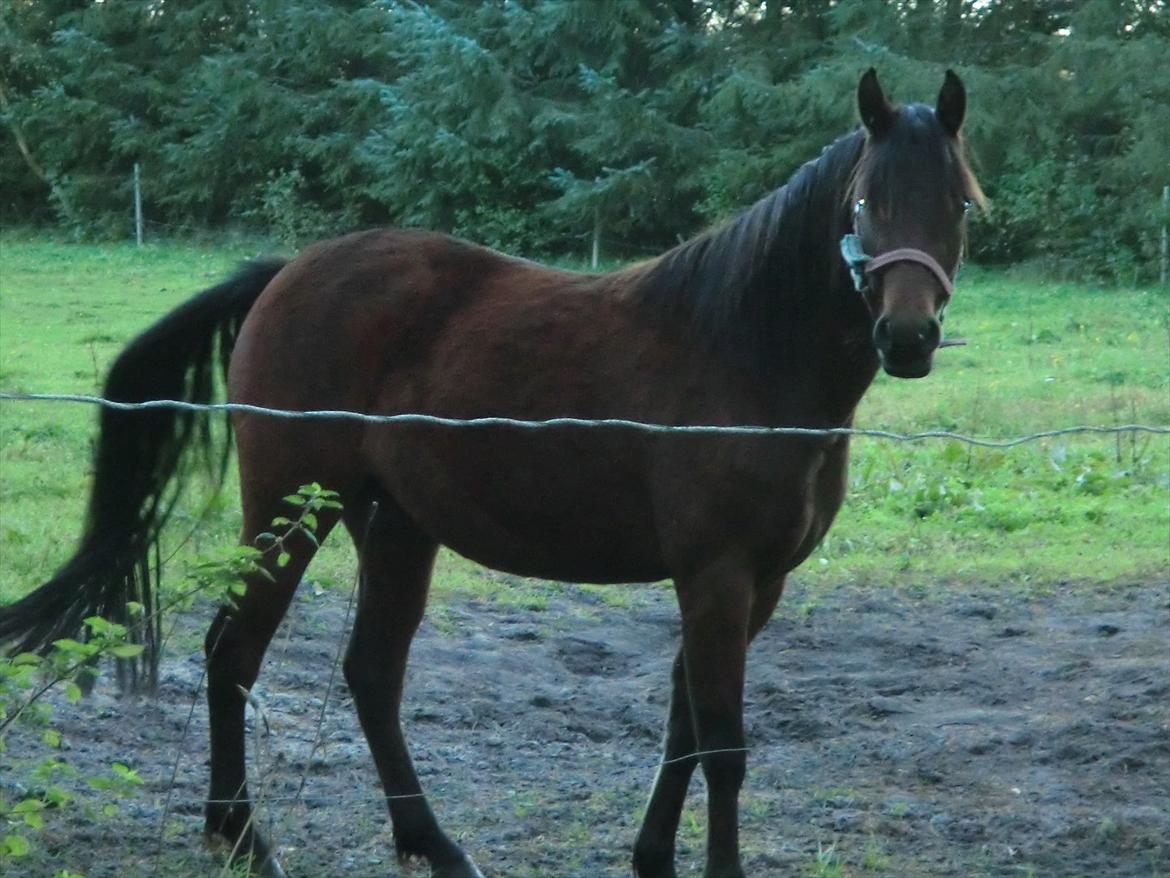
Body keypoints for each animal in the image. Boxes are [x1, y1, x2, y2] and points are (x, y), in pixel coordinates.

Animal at [0, 69, 982, 878]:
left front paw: (652, 857)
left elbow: (683, 725)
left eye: (961, 206)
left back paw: (430, 844)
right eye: (865, 201)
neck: (746, 353)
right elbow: (722, 741)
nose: (907, 337)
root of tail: (287, 274)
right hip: (292, 508)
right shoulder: (718, 576)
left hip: (393, 524)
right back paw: (244, 838)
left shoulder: (756, 584)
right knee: (233, 651)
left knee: (371, 674)